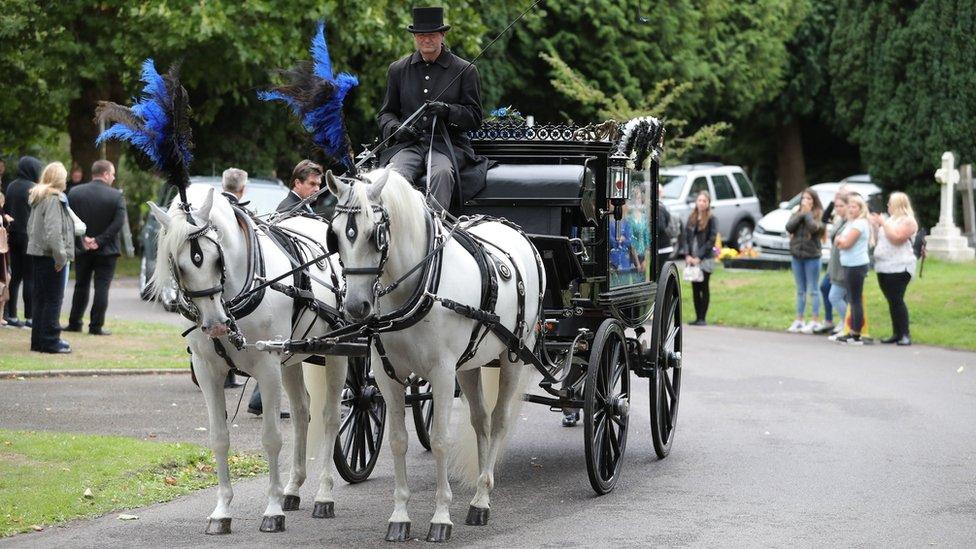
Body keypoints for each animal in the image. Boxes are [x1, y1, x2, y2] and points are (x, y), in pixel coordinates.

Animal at [151, 186, 348, 532]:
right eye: (179, 264)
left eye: (216, 258)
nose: (216, 324)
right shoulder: (207, 371)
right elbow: (218, 438)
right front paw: (222, 512)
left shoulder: (268, 366)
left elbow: (271, 438)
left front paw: (272, 510)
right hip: (292, 357)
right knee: (302, 412)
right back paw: (293, 489)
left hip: (336, 350)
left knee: (330, 416)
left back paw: (324, 495)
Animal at [326, 169, 540, 540]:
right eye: (335, 236)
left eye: (375, 235)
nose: (355, 307)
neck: (420, 285)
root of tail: (512, 228)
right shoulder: (387, 375)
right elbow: (398, 441)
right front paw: (399, 516)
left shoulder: (441, 373)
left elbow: (440, 440)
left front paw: (441, 517)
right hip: (469, 364)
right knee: (481, 421)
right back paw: (480, 488)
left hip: (513, 355)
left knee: (498, 421)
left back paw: (481, 500)